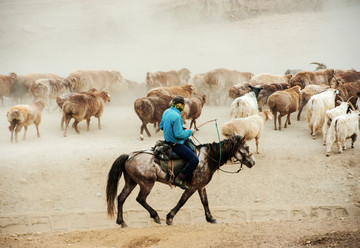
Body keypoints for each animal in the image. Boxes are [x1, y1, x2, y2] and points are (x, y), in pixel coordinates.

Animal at [105, 135, 255, 228]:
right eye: (247, 148)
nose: (252, 162)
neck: (207, 157)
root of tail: (129, 156)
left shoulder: (201, 186)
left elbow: (205, 202)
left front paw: (211, 218)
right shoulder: (192, 187)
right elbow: (182, 201)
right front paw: (169, 217)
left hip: (131, 182)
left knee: (121, 198)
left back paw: (122, 222)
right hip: (146, 183)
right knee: (140, 199)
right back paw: (155, 216)